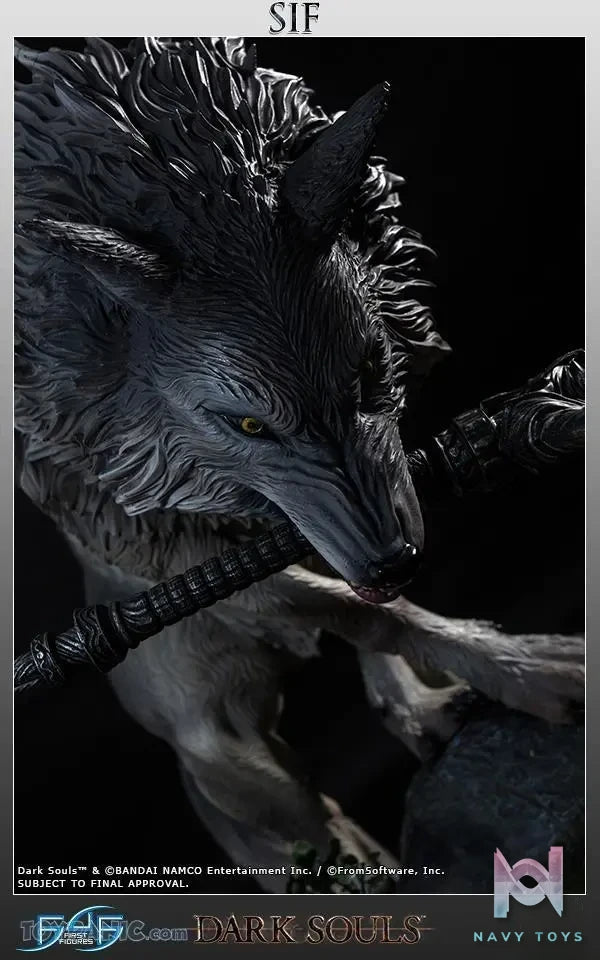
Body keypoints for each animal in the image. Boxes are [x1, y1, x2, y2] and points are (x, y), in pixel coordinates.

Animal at [15, 38, 584, 885]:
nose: (395, 561)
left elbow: (370, 610)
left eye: (371, 369)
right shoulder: (169, 554)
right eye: (248, 423)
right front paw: (535, 669)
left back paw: (423, 715)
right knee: (316, 837)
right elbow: (364, 610)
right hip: (237, 771)